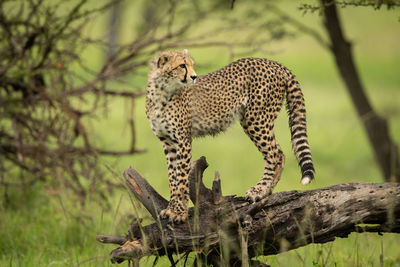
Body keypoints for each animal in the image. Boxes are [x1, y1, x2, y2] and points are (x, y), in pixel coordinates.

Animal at [145, 49, 314, 223]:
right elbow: (172, 177)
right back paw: (265, 192)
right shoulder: (168, 143)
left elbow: (181, 178)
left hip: (255, 118)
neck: (161, 91)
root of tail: (274, 63)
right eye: (182, 65)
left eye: (191, 64)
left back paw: (260, 191)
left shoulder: (182, 141)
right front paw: (171, 209)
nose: (194, 77)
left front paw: (179, 212)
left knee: (276, 155)